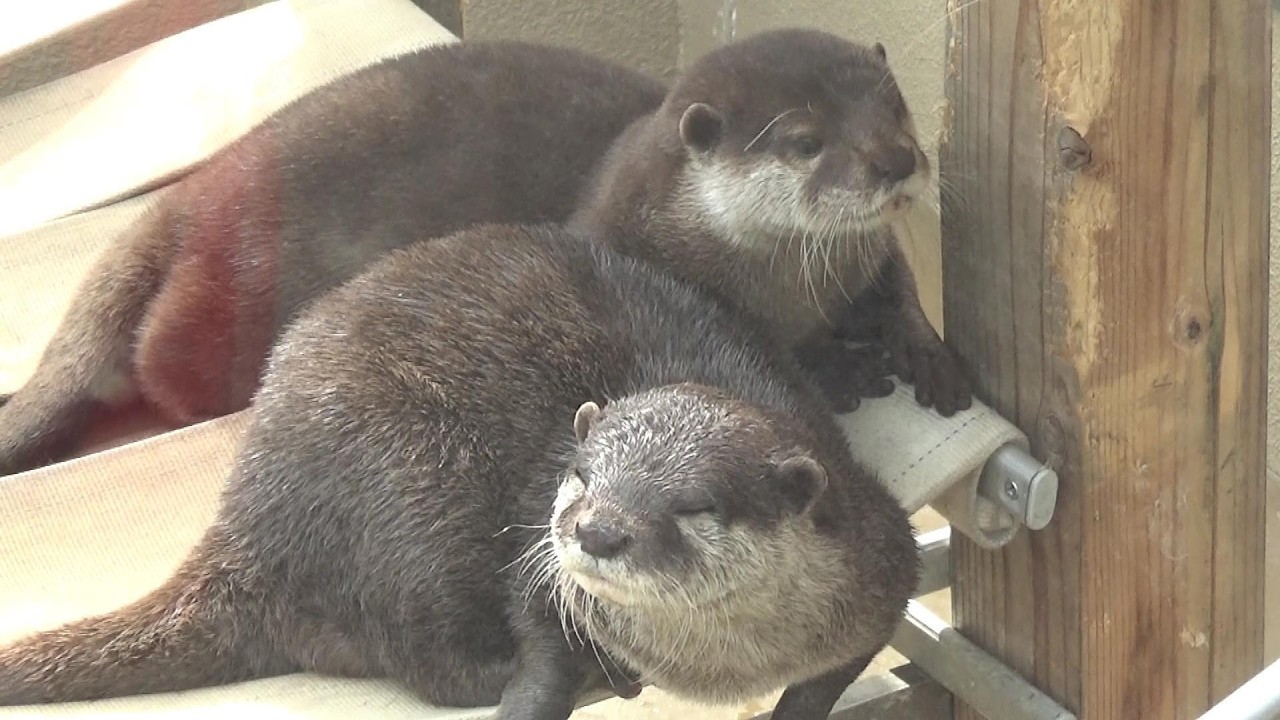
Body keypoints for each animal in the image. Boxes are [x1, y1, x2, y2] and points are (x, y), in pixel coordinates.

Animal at [0, 224, 918, 720]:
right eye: (581, 473)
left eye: (694, 503)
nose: (597, 531)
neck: (715, 669)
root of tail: (250, 515)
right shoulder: (536, 568)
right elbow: (534, 641)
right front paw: (544, 685)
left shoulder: (882, 564)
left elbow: (832, 675)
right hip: (413, 495)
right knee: (425, 664)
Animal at [570, 29, 971, 417]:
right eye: (807, 143)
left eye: (895, 106)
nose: (897, 160)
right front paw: (839, 369)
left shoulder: (873, 251)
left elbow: (900, 287)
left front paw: (927, 352)